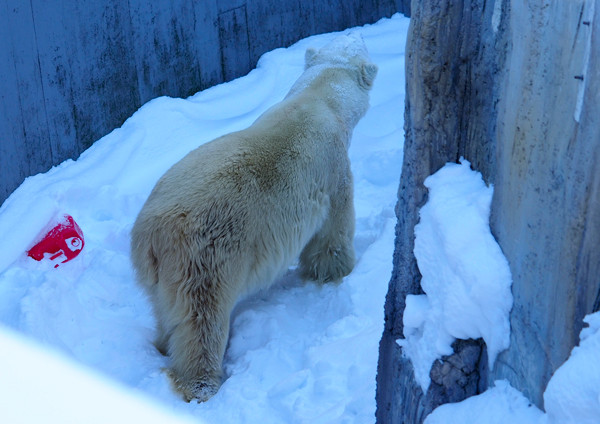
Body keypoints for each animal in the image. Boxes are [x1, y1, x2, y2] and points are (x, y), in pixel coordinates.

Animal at [129, 33, 378, 400]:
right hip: (205, 259)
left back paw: (162, 345)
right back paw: (202, 383)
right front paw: (335, 273)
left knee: (164, 310)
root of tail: (151, 233)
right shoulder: (332, 174)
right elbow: (332, 232)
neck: (319, 98)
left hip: (159, 273)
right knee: (201, 321)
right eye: (356, 39)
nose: (360, 32)